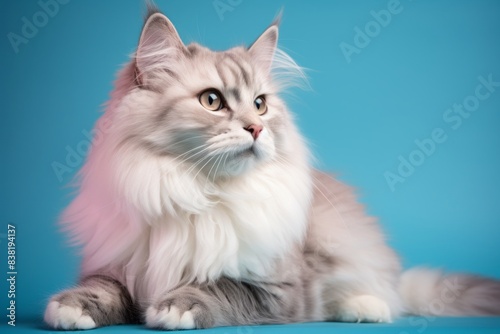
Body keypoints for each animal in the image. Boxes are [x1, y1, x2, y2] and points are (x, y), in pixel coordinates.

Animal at [44, 3, 500, 330]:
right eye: (212, 101)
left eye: (260, 104)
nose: (257, 128)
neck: (197, 191)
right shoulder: (117, 266)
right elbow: (103, 290)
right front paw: (70, 308)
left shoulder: (278, 288)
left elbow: (219, 285)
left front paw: (177, 306)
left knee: (380, 293)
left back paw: (366, 307)